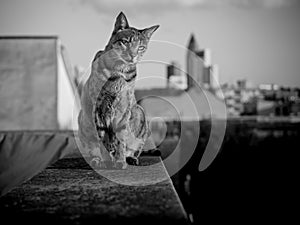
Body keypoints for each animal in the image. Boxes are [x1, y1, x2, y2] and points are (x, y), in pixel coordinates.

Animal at [78, 11, 159, 168]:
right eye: (126, 42)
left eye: (141, 47)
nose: (133, 55)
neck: (118, 72)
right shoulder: (99, 107)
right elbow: (103, 137)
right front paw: (107, 160)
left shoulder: (124, 108)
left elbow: (121, 139)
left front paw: (120, 160)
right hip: (82, 118)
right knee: (92, 148)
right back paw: (97, 160)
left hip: (139, 112)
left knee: (134, 148)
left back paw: (131, 158)